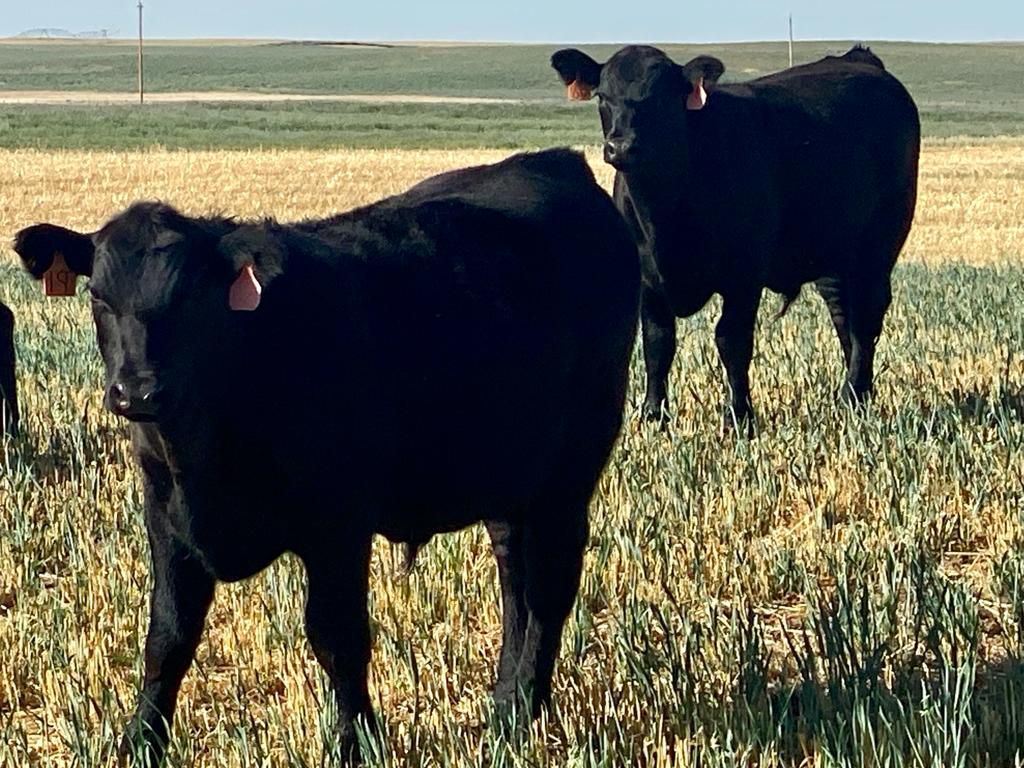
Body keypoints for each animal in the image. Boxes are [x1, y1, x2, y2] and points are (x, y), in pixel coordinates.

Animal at [13, 148, 640, 765]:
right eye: (99, 297)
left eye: (189, 297)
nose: (138, 391)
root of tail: (553, 161)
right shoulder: (165, 516)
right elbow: (168, 635)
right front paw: (140, 741)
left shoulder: (338, 524)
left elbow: (338, 637)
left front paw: (357, 744)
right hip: (507, 480)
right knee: (517, 585)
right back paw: (504, 702)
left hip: (570, 472)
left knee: (552, 585)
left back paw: (520, 712)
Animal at [551, 44, 920, 431]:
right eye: (603, 97)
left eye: (660, 97)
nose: (621, 147)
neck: (665, 215)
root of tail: (859, 59)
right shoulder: (648, 280)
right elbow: (657, 343)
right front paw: (654, 414)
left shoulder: (744, 276)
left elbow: (732, 341)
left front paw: (738, 417)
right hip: (832, 257)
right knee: (843, 316)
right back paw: (853, 394)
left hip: (877, 247)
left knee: (865, 318)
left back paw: (854, 395)